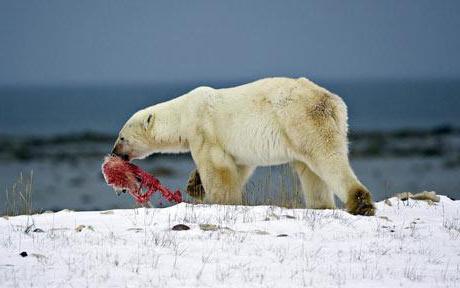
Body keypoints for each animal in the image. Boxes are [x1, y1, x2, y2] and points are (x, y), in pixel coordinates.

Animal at [113, 77, 376, 215]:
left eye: (122, 137)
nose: (115, 152)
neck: (183, 112)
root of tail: (333, 102)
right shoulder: (234, 145)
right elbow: (238, 167)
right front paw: (194, 185)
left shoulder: (204, 128)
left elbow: (215, 166)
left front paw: (218, 200)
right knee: (311, 171)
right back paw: (321, 206)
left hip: (301, 119)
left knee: (326, 158)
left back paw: (360, 203)